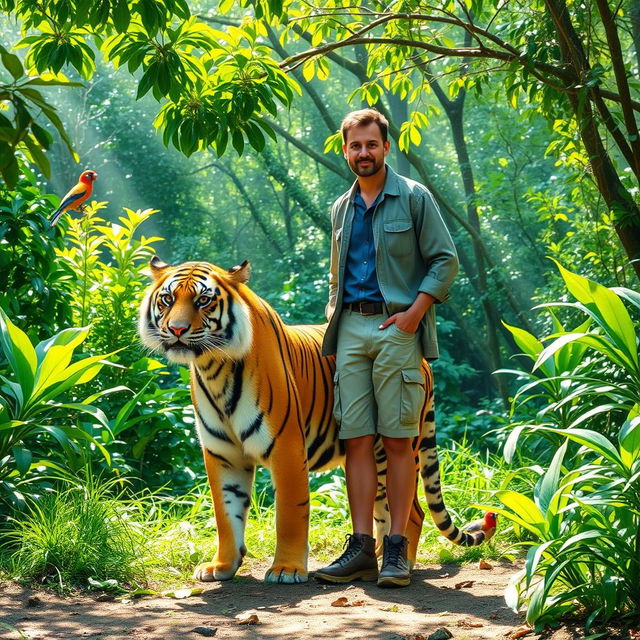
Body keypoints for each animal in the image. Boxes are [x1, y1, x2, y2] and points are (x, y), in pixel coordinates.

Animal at [139, 256, 490, 584]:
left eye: (203, 300)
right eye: (167, 299)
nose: (177, 329)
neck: (214, 366)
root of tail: (423, 362)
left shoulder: (286, 448)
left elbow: (290, 513)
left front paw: (286, 569)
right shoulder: (223, 454)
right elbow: (226, 514)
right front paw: (222, 566)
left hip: (392, 446)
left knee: (414, 512)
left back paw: (403, 564)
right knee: (384, 509)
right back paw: (374, 558)